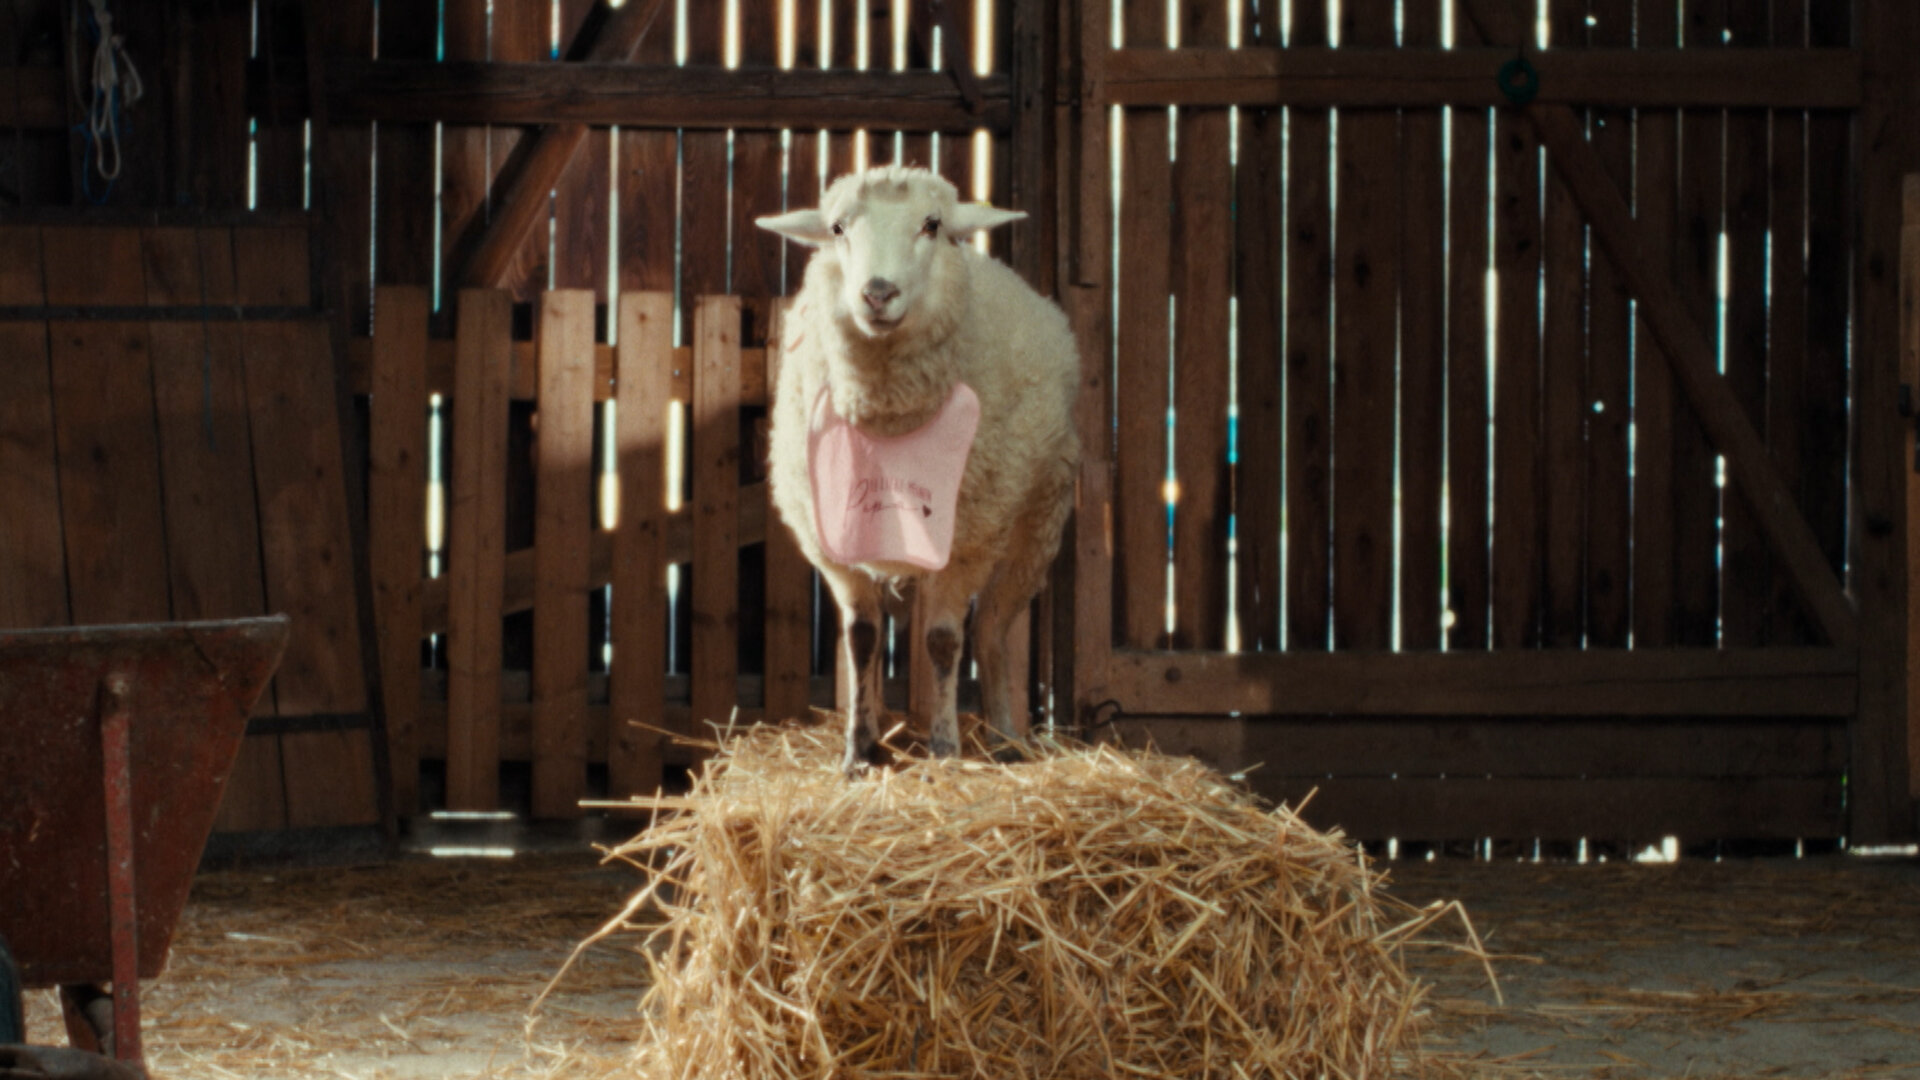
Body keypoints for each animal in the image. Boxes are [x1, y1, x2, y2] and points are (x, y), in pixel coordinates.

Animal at [757, 166, 1080, 774]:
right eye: (837, 228)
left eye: (931, 225)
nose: (878, 292)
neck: (888, 417)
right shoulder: (831, 542)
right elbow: (861, 638)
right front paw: (858, 751)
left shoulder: (970, 538)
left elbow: (945, 641)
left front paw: (946, 750)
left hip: (1037, 519)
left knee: (993, 631)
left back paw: (1004, 737)